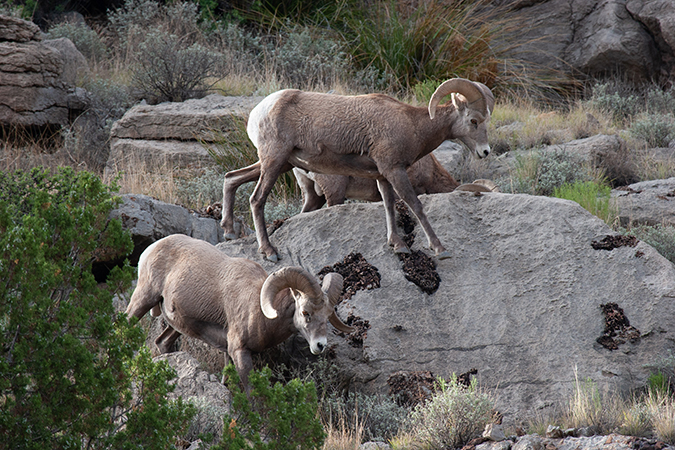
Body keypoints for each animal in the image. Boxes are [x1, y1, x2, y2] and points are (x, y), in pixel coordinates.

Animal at [124, 234, 354, 384]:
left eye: (327, 315)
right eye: (306, 312)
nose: (320, 345)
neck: (258, 310)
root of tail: (151, 248)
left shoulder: (228, 351)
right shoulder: (240, 351)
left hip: (178, 324)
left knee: (162, 342)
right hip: (144, 298)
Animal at [220, 77, 492, 260]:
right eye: (473, 121)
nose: (485, 152)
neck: (413, 125)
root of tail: (258, 112)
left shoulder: (382, 175)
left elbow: (389, 205)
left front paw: (397, 245)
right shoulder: (395, 170)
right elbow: (414, 205)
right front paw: (440, 249)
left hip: (279, 163)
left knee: (231, 178)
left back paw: (229, 232)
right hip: (274, 161)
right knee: (256, 199)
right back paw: (269, 252)